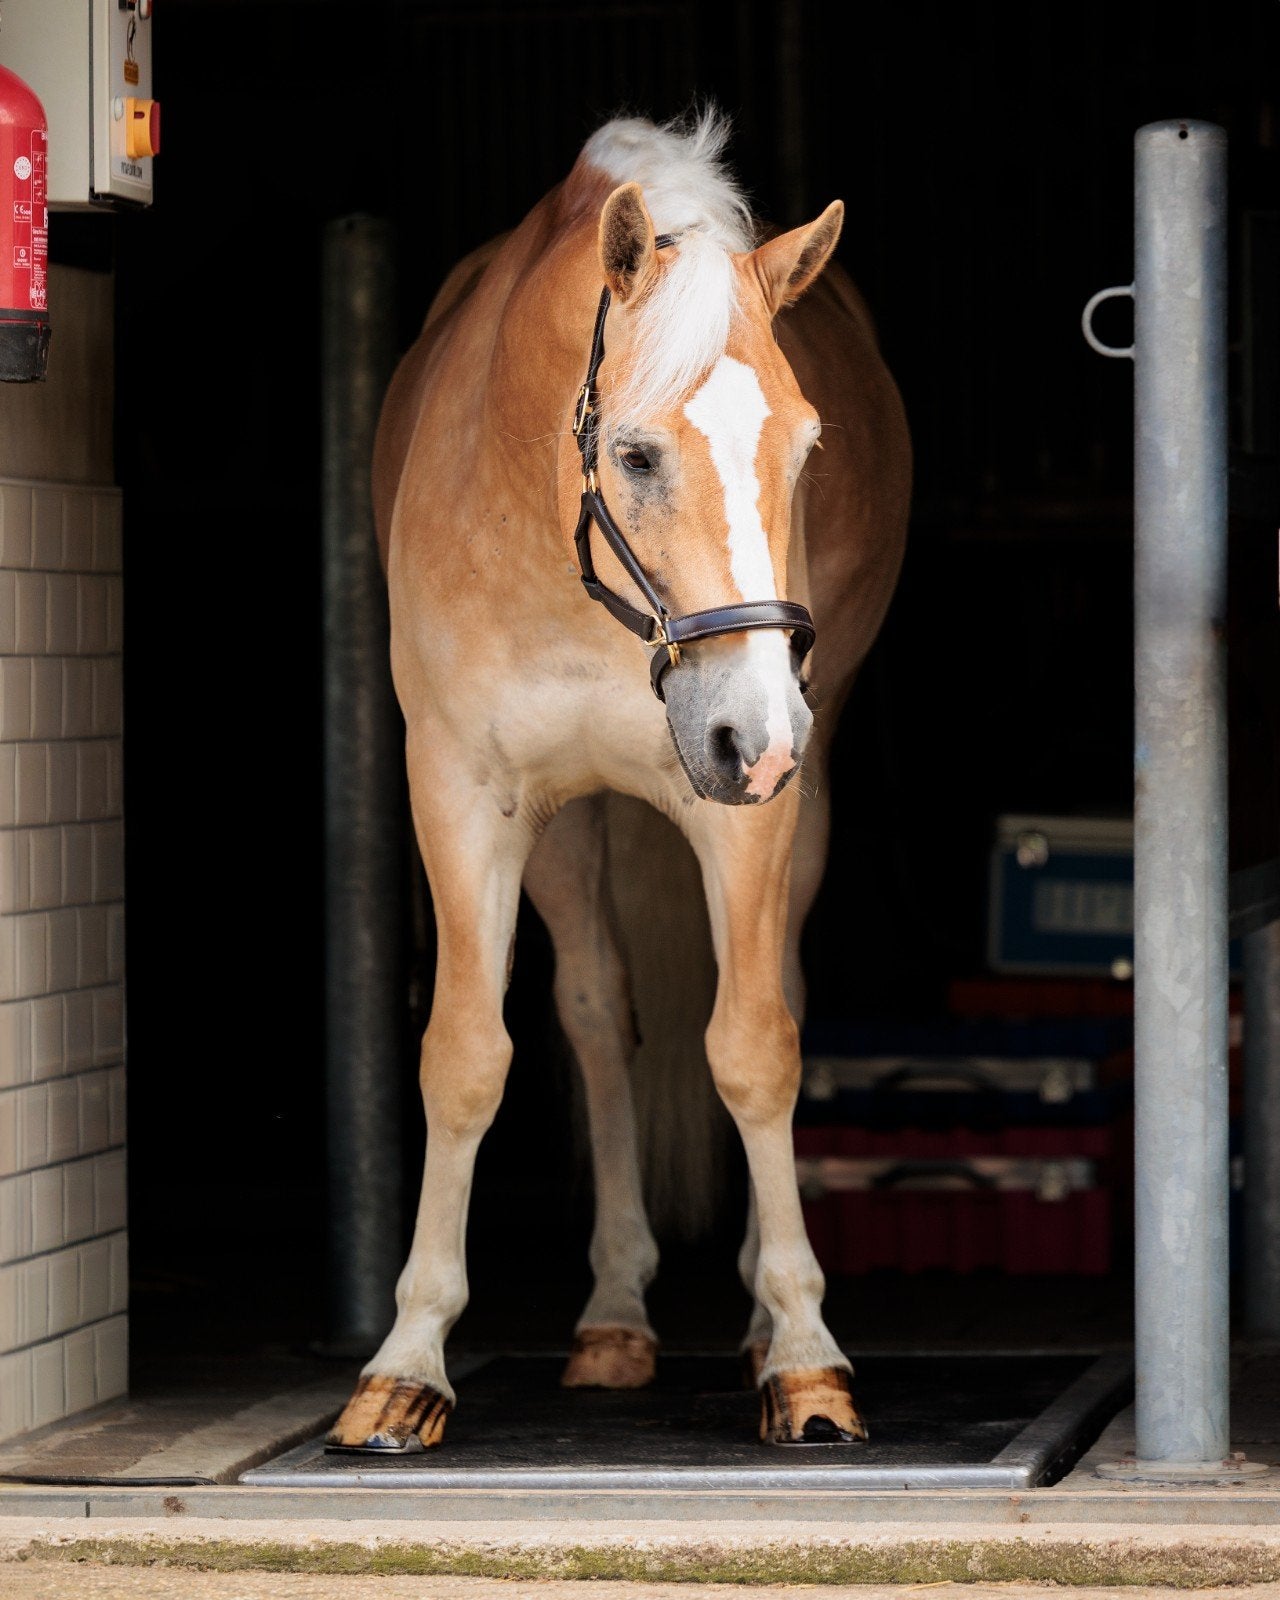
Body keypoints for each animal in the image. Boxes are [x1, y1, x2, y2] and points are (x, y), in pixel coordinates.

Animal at [326, 111, 911, 1452]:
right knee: (596, 1013)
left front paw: (804, 1354)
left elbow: (752, 1046)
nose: (754, 731)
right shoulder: (463, 792)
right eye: (634, 454)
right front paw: (406, 1362)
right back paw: (609, 1316)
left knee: (771, 986)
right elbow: (464, 1056)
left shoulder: (746, 811)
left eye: (804, 450)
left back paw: (749, 1309)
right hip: (575, 826)